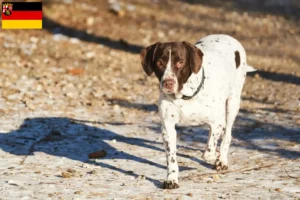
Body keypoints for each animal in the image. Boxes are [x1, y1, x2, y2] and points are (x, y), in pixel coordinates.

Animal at [140, 34, 255, 189]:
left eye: (180, 62)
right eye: (159, 62)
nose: (168, 83)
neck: (185, 96)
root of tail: (226, 36)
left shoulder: (217, 122)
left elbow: (208, 153)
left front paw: (216, 157)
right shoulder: (168, 128)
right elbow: (171, 158)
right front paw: (172, 179)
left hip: (233, 102)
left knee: (227, 135)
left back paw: (222, 160)